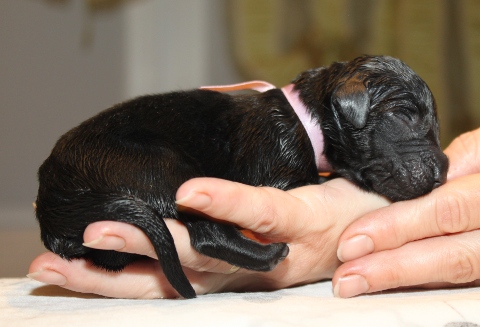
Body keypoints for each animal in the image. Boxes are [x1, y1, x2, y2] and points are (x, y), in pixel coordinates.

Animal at [35, 55, 448, 300]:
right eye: (405, 115)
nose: (442, 171)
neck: (308, 120)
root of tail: (56, 200)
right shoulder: (277, 167)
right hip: (160, 168)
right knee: (206, 233)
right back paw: (269, 253)